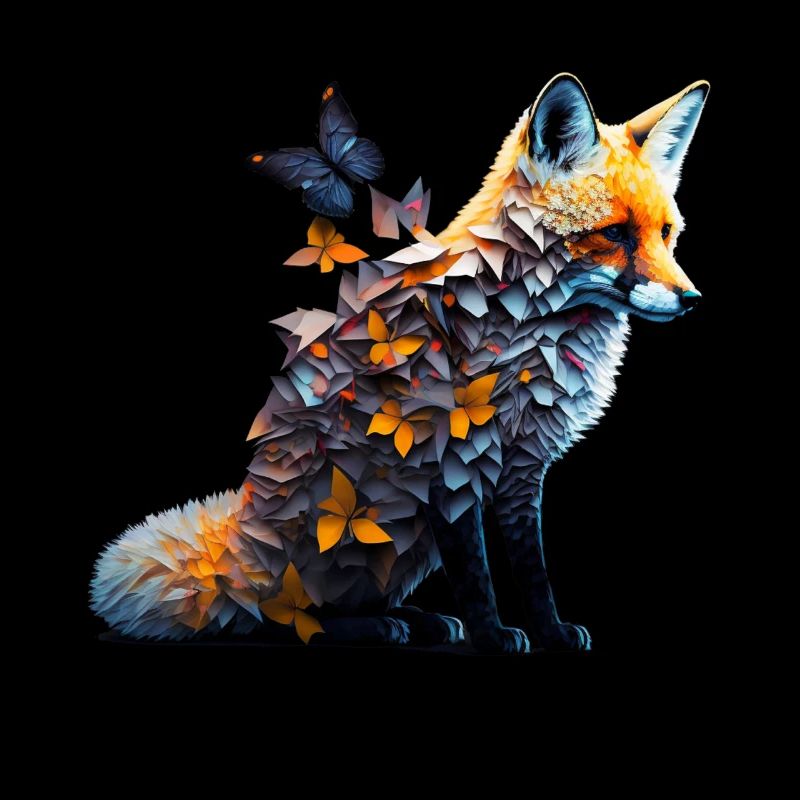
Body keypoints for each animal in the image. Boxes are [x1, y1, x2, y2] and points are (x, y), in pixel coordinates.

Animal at [91, 74, 708, 653]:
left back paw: (416, 620)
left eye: (666, 234)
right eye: (613, 234)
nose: (692, 300)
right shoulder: (447, 461)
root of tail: (241, 536)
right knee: (281, 619)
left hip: (407, 545)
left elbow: (532, 570)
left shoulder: (523, 468)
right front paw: (493, 637)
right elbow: (476, 574)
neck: (529, 336)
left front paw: (550, 632)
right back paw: (373, 626)